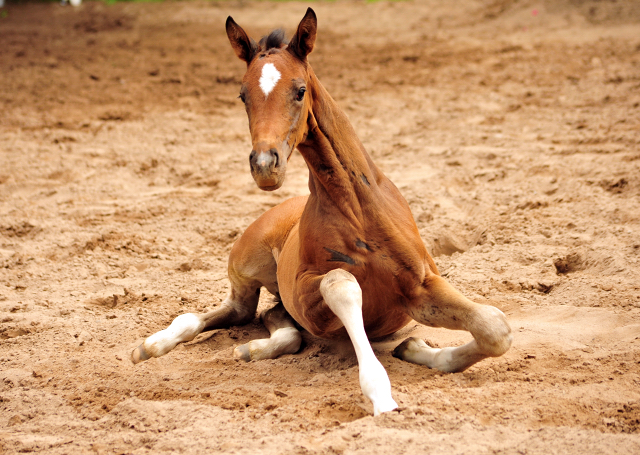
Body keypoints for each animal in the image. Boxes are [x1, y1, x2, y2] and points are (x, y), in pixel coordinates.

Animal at [132, 9, 512, 416]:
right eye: (242, 95)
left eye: (300, 90)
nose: (265, 166)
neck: (358, 209)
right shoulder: (308, 292)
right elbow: (341, 283)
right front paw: (381, 395)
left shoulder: (419, 285)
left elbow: (495, 328)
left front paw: (416, 349)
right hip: (245, 270)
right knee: (230, 312)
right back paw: (153, 345)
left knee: (271, 319)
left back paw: (252, 349)